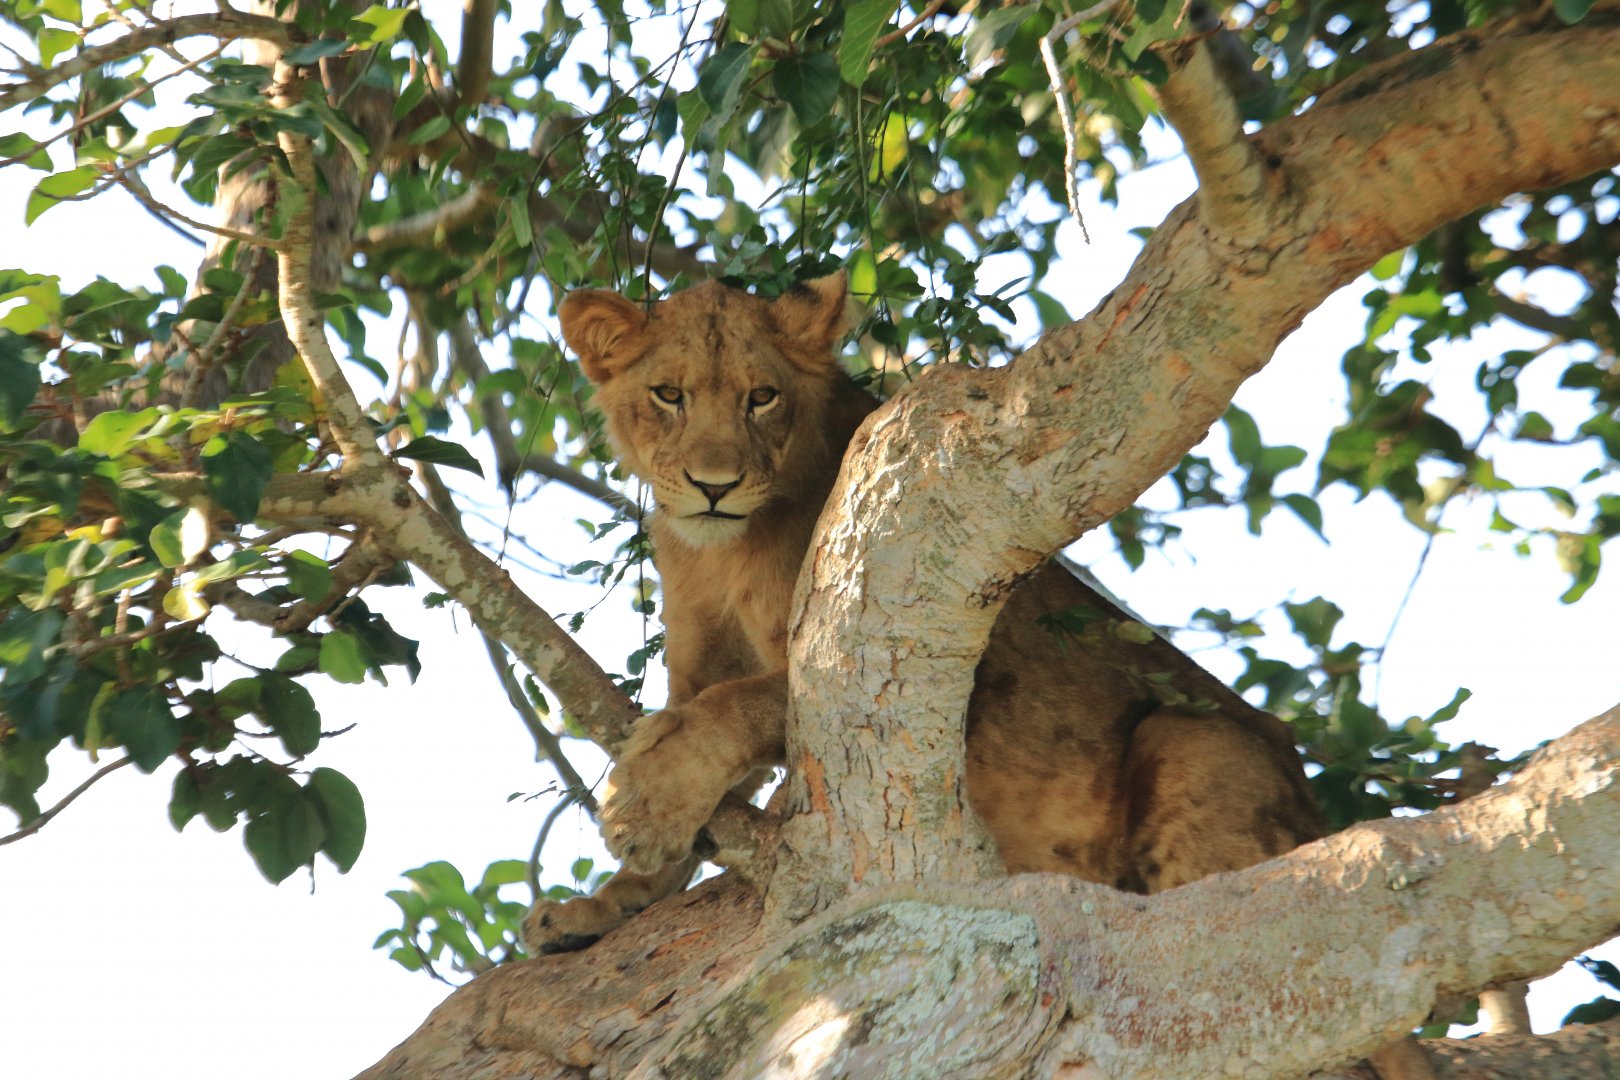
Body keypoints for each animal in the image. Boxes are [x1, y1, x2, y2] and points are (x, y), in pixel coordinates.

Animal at [521, 273, 1431, 1078]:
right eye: (668, 394)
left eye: (761, 397)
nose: (715, 486)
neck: (719, 552)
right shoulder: (696, 658)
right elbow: (690, 750)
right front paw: (599, 905)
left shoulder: (893, 647)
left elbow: (737, 708)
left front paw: (641, 806)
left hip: (1195, 745)